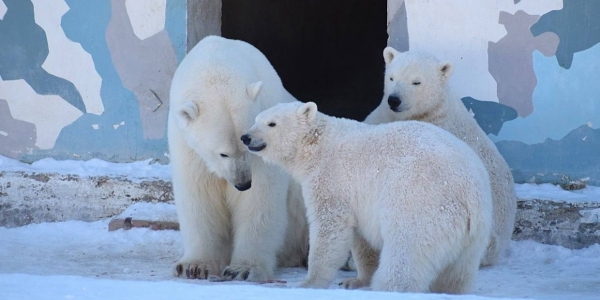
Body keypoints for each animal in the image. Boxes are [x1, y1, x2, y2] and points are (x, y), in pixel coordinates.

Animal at [169, 35, 310, 282]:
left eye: (247, 144)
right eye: (223, 153)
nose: (243, 184)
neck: (218, 60)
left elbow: (259, 199)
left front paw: (243, 269)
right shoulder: (187, 146)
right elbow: (199, 195)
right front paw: (194, 266)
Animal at [241, 101, 494, 292]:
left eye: (271, 123)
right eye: (256, 119)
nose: (245, 137)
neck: (318, 145)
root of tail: (469, 193)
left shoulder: (333, 178)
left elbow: (329, 226)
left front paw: (309, 283)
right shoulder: (359, 197)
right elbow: (361, 239)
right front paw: (355, 280)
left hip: (420, 202)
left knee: (406, 251)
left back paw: (388, 287)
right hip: (474, 235)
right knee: (459, 272)